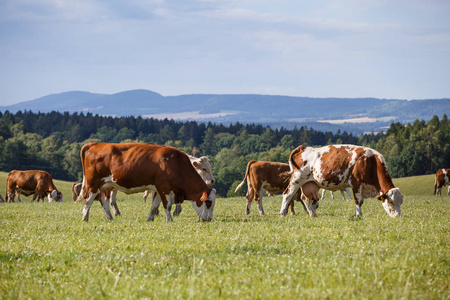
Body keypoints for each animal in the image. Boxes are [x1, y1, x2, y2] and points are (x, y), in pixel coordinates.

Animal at [76, 142, 216, 221]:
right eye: (208, 202)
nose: (209, 219)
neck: (176, 163)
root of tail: (96, 144)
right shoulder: (164, 188)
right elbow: (168, 205)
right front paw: (169, 219)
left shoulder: (158, 189)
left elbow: (154, 205)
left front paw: (150, 218)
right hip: (93, 184)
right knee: (88, 200)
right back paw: (84, 218)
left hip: (107, 185)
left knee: (103, 200)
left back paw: (109, 217)